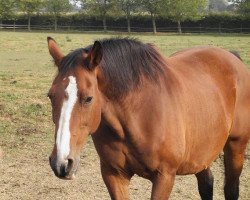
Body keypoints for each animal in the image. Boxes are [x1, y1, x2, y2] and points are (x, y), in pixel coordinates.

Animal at [47, 36, 250, 199]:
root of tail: (233, 59)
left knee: (231, 189)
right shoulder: (114, 175)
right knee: (206, 184)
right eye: (50, 96)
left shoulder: (164, 177)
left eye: (88, 98)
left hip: (235, 146)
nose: (62, 163)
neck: (138, 115)